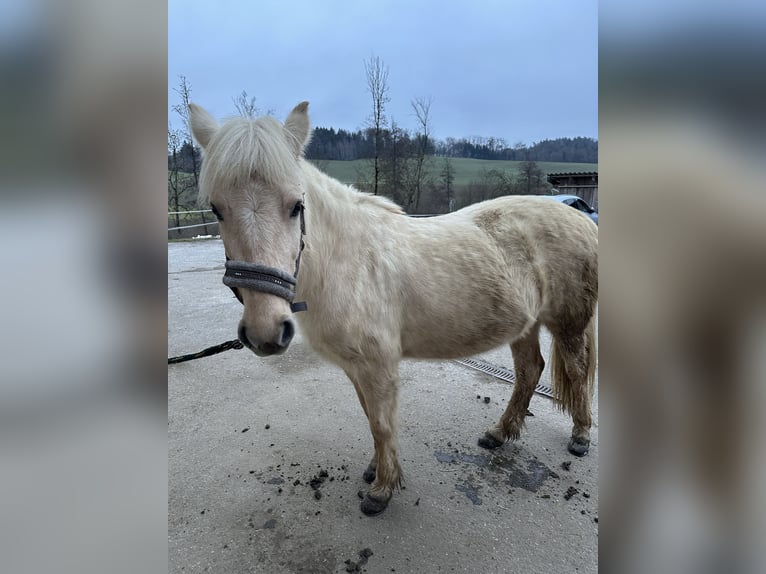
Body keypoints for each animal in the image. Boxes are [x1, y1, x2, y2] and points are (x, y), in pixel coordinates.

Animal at [188, 101, 598, 516]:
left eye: (296, 206)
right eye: (217, 209)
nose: (265, 332)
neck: (348, 261)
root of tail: (581, 217)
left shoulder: (378, 365)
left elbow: (382, 424)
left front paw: (381, 490)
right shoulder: (356, 367)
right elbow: (371, 417)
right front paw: (376, 470)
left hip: (568, 323)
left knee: (577, 370)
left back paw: (580, 436)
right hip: (525, 324)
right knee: (530, 370)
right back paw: (499, 433)